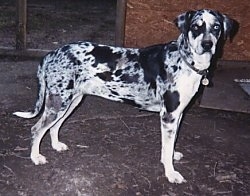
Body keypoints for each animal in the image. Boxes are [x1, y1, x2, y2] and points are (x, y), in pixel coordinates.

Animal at [13, 9, 236, 184]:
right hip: (59, 103)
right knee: (37, 129)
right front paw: (170, 172)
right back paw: (35, 157)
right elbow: (166, 148)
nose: (207, 44)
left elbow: (171, 144)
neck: (184, 60)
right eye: (196, 27)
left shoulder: (178, 114)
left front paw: (172, 156)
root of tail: (50, 54)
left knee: (53, 127)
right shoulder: (168, 116)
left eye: (216, 27)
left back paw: (56, 145)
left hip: (71, 102)